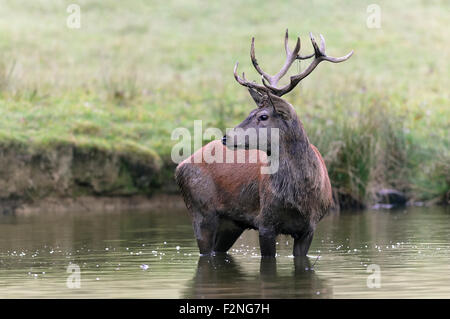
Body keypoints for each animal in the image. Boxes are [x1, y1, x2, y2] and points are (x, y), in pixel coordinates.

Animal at [174, 30, 354, 258]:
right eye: (250, 112)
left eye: (263, 116)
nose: (226, 137)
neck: (300, 198)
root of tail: (179, 166)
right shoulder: (265, 222)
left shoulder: (310, 227)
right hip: (201, 210)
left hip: (232, 224)